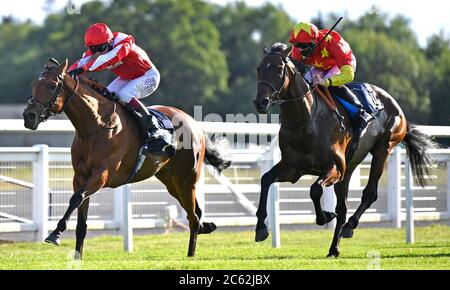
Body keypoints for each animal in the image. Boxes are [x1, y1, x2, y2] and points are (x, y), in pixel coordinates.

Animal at [22, 58, 230, 258]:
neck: (97, 126)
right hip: (172, 182)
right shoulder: (80, 177)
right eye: (33, 83)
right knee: (195, 213)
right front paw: (77, 258)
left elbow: (76, 198)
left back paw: (190, 256)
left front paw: (55, 234)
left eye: (51, 86)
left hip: (187, 179)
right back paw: (201, 233)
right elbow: (81, 221)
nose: (29, 116)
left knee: (193, 218)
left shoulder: (102, 176)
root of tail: (195, 124)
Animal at [253, 44, 436, 258]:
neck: (307, 120)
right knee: (343, 207)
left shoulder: (334, 167)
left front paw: (325, 216)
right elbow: (265, 179)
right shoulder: (292, 168)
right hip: (349, 168)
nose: (261, 102)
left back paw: (349, 227)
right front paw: (261, 228)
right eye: (259, 68)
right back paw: (334, 248)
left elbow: (315, 190)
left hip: (383, 149)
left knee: (369, 193)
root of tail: (395, 104)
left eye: (278, 69)